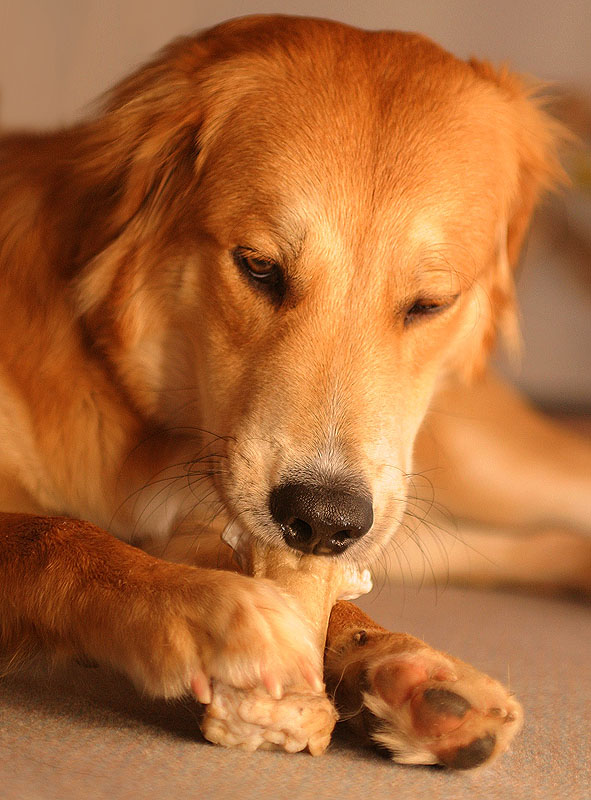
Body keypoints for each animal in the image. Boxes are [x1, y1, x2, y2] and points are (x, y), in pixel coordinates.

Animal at [1, 14, 591, 768]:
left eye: (430, 304)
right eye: (258, 268)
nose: (322, 520)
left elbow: (332, 600)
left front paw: (402, 665)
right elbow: (55, 533)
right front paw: (204, 609)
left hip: (480, 471)